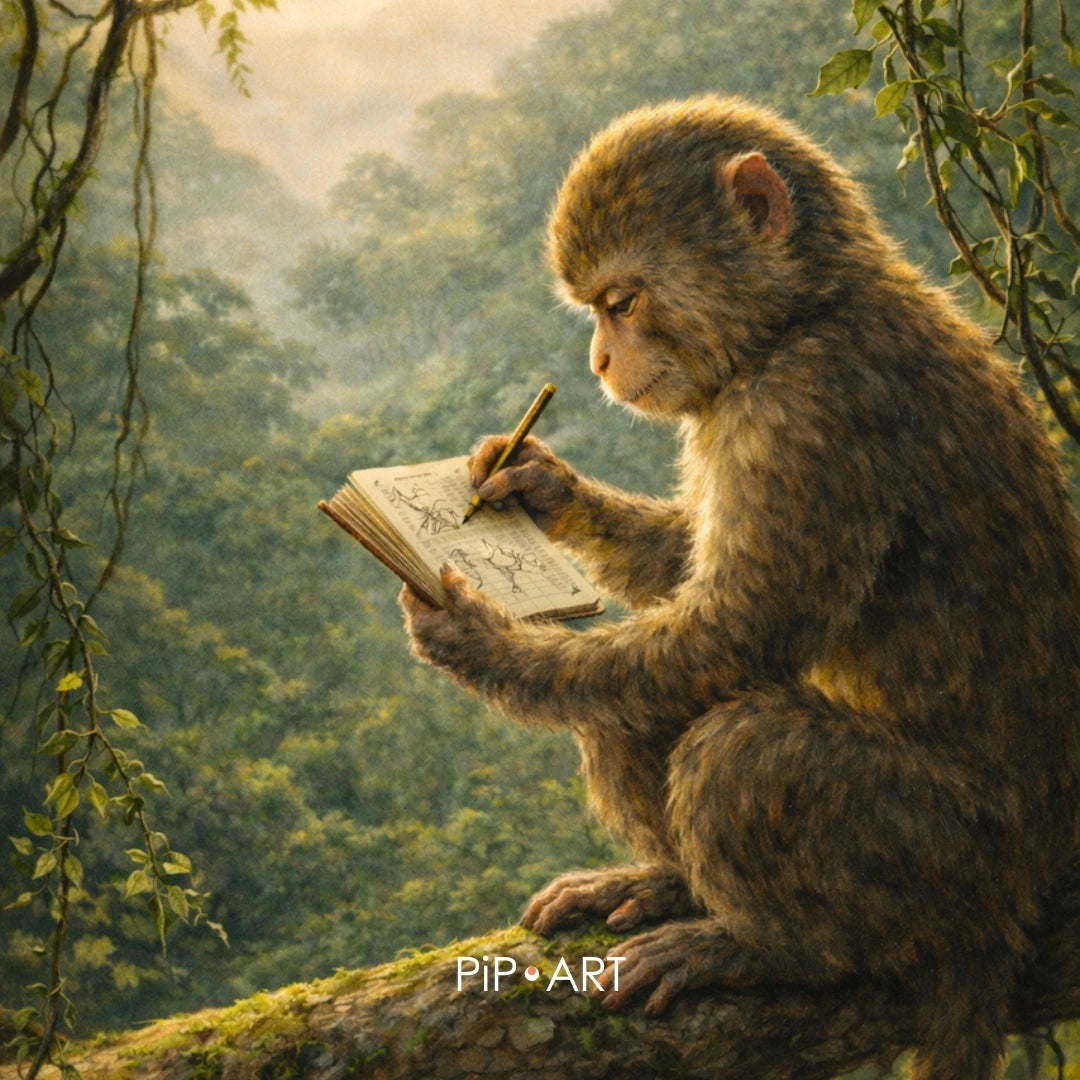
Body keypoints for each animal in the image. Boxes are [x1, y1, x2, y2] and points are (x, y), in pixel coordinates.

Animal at [400, 96, 1080, 1080]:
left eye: (621, 303)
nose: (599, 360)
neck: (802, 316)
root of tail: (1026, 890)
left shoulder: (811, 405)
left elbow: (735, 629)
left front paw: (486, 642)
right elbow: (689, 571)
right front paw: (537, 485)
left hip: (960, 859)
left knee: (743, 747)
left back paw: (769, 947)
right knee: (635, 715)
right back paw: (671, 885)